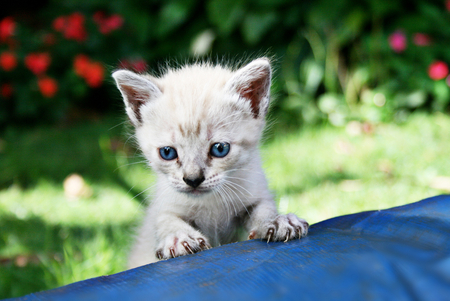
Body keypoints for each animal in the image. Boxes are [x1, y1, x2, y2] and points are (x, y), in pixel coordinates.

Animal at [112, 58, 310, 268]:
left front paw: (278, 221)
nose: (192, 180)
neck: (212, 203)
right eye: (167, 152)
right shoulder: (164, 204)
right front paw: (178, 237)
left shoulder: (255, 192)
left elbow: (264, 208)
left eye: (219, 149)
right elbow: (166, 219)